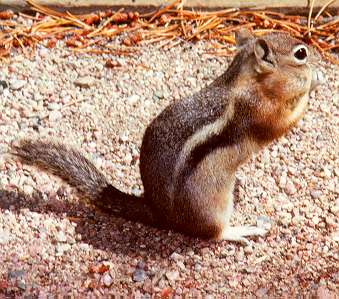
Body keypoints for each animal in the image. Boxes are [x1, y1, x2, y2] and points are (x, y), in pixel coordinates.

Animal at [10, 29, 324, 246]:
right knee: (212, 234)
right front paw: (311, 87)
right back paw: (238, 230)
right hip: (213, 205)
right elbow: (282, 123)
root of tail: (160, 214)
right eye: (300, 54)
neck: (245, 81)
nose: (319, 66)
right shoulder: (259, 112)